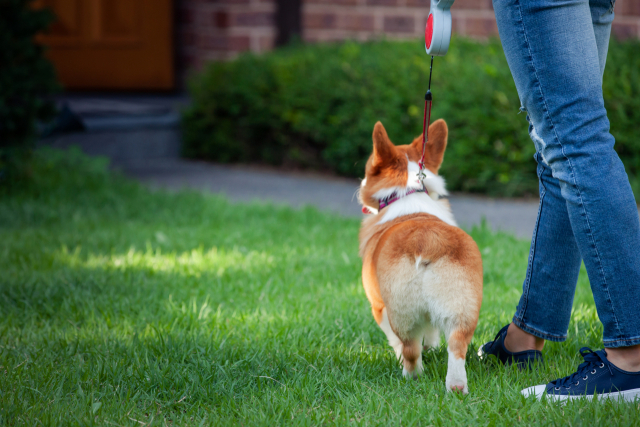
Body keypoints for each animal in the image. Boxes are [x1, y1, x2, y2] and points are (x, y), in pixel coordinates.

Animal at [358, 120, 482, 394]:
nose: (360, 183)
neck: (406, 193)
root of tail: (429, 240)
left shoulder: (378, 307)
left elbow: (395, 341)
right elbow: (433, 332)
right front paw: (432, 349)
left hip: (401, 311)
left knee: (410, 349)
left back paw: (411, 377)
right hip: (463, 307)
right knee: (457, 347)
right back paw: (456, 388)